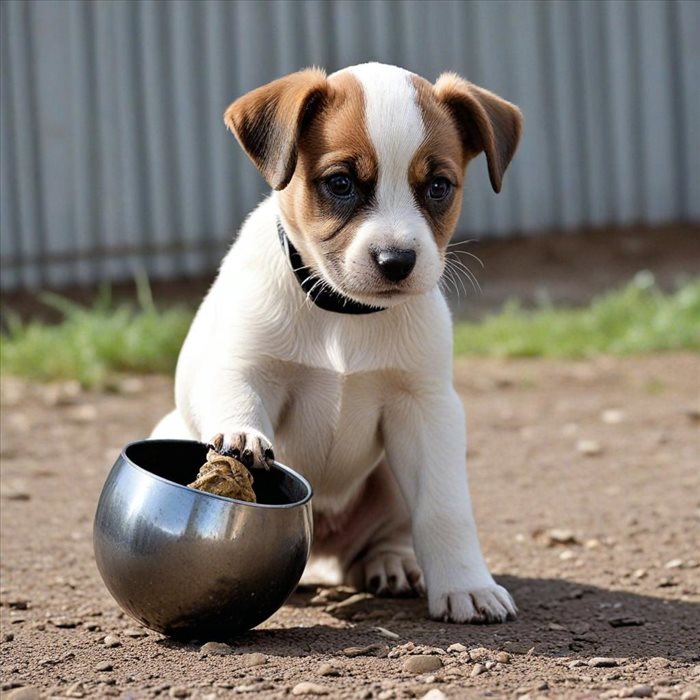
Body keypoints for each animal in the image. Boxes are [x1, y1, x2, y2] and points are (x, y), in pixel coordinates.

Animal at [154, 63, 524, 624]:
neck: (341, 313)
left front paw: (467, 585)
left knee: (376, 545)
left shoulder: (426, 409)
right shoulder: (238, 366)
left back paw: (391, 564)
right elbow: (236, 397)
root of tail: (323, 544)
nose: (397, 261)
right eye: (341, 183)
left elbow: (444, 510)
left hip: (389, 476)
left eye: (439, 187)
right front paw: (242, 434)